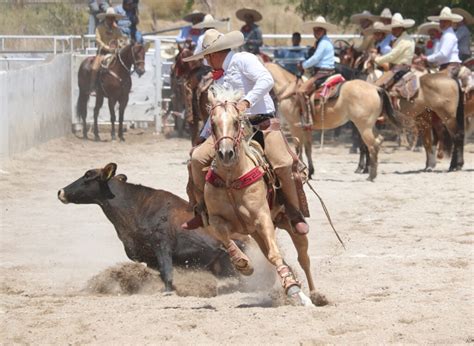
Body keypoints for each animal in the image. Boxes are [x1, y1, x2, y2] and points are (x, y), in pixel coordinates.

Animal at [57, 163, 239, 292]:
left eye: (88, 175)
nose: (60, 192)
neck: (136, 206)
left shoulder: (161, 245)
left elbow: (167, 273)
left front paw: (167, 291)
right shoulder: (148, 257)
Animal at [264, 62, 402, 181]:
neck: (288, 91)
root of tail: (375, 88)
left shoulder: (294, 126)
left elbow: (298, 149)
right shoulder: (306, 127)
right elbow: (308, 148)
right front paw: (310, 172)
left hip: (363, 126)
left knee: (371, 145)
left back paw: (370, 175)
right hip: (369, 125)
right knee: (378, 140)